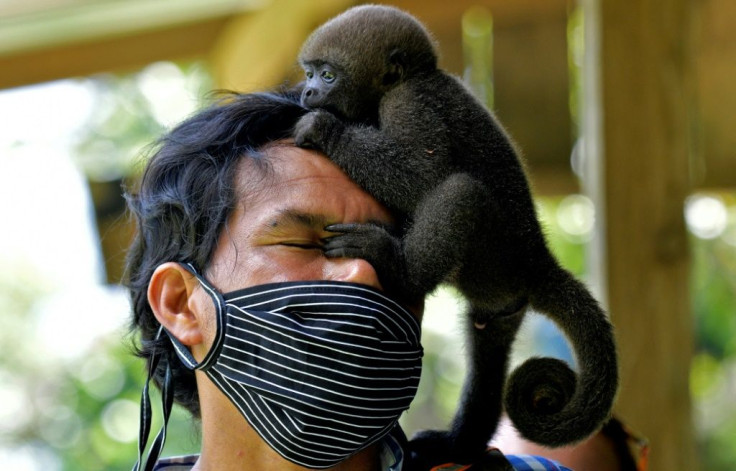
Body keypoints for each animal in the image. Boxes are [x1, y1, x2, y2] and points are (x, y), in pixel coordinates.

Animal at [294, 5, 616, 470]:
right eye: (309, 72)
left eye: (328, 75)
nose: (307, 91)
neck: (413, 77)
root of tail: (539, 259)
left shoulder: (411, 103)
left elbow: (421, 173)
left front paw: (324, 129)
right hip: (500, 302)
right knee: (488, 351)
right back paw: (459, 445)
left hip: (496, 253)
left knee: (461, 190)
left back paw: (398, 268)